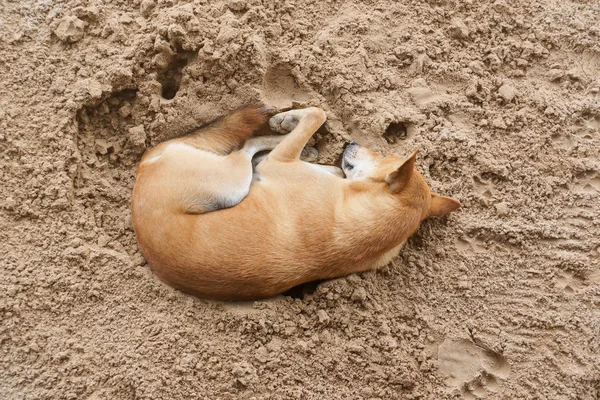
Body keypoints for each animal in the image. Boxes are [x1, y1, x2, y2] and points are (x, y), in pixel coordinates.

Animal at [130, 104, 460, 298]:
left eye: (383, 156)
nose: (350, 142)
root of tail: (146, 162)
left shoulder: (279, 164)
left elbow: (316, 114)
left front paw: (289, 122)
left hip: (231, 179)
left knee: (246, 149)